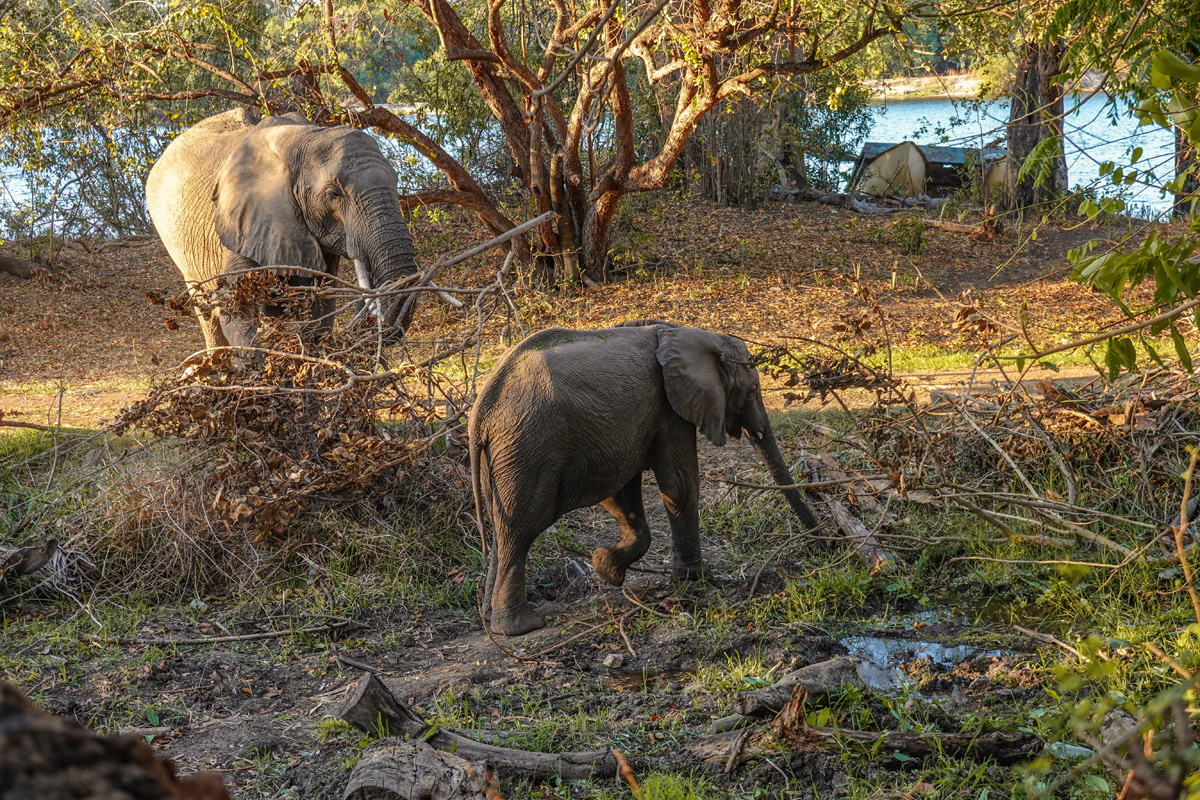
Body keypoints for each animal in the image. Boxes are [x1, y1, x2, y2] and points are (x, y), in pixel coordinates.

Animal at [146, 108, 418, 351]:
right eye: (334, 195)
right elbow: (239, 308)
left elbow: (319, 309)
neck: (302, 138)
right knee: (208, 314)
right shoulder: (242, 218)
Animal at [469, 320, 820, 636]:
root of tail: (480, 412)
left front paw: (606, 567)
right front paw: (694, 578)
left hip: (502, 455)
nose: (822, 542)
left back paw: (489, 617)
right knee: (521, 528)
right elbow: (679, 485)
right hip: (528, 446)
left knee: (501, 527)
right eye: (753, 390)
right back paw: (520, 627)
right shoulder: (670, 408)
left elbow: (622, 493)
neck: (693, 333)